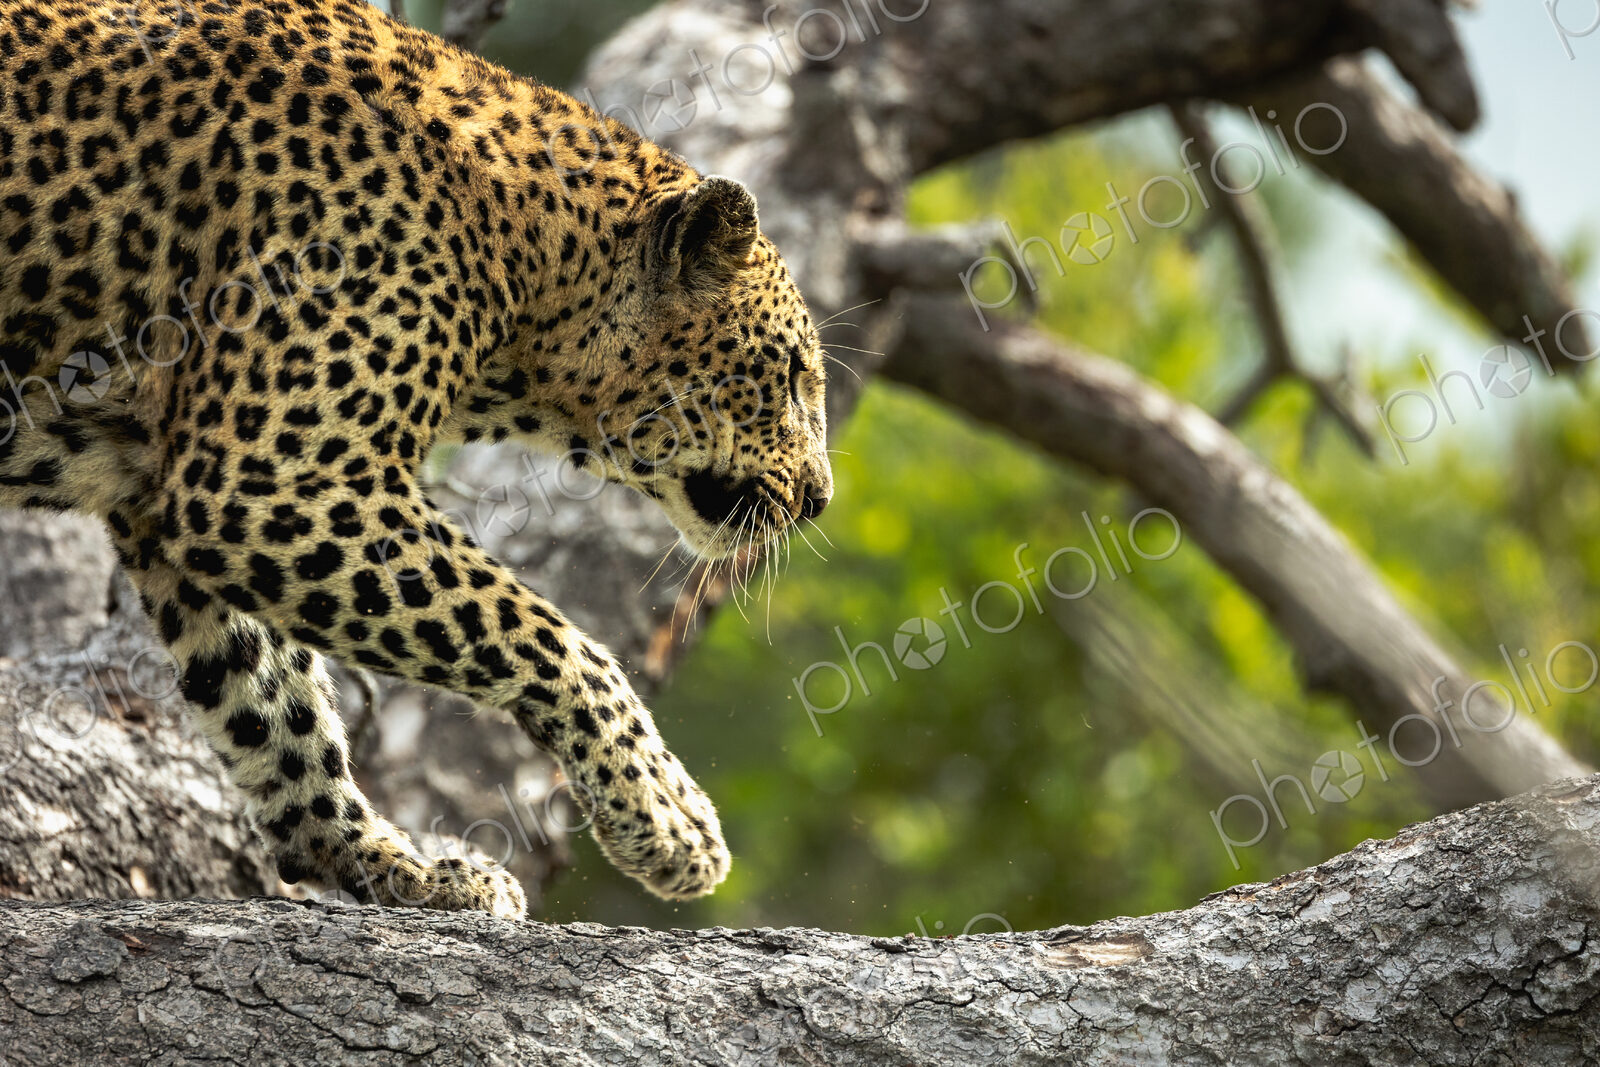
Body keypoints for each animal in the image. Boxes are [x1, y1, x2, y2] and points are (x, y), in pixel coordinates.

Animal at [0, 0, 832, 917]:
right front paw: (663, 809)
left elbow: (273, 704)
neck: (534, 258)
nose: (821, 497)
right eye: (793, 375)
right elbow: (545, 632)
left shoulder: (179, 489)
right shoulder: (270, 479)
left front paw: (388, 864)